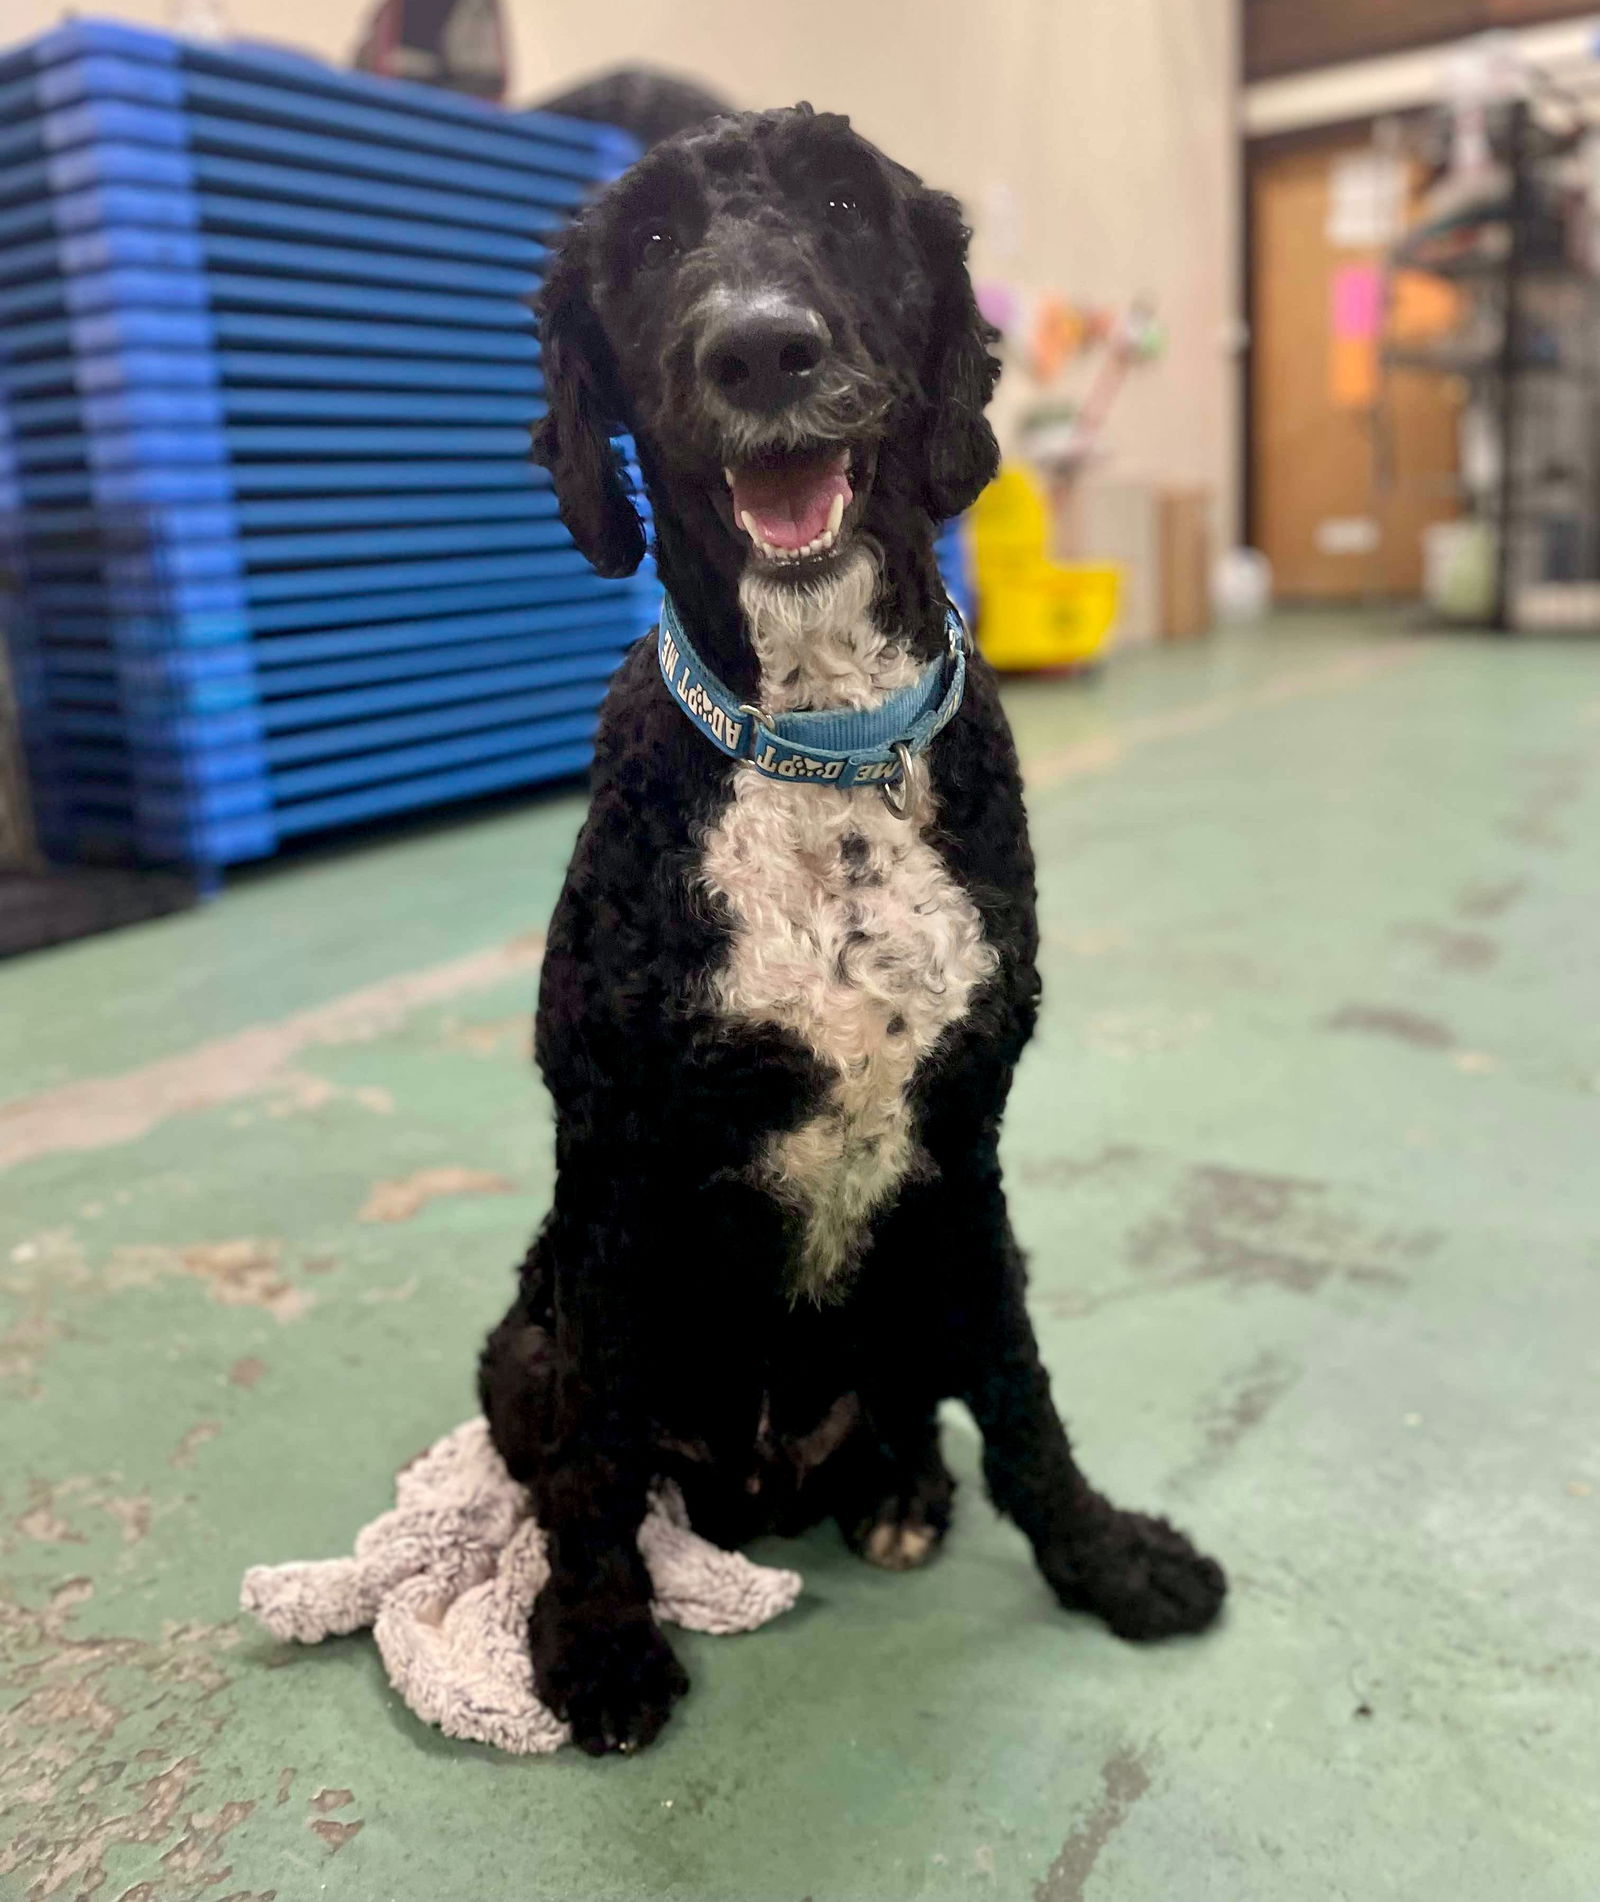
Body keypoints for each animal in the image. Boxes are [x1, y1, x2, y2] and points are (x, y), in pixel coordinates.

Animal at [477, 107, 1225, 1749]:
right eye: (647, 241)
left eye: (839, 205)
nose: (762, 346)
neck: (822, 745)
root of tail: (767, 1482)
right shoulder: (615, 1170)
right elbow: (595, 1457)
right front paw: (597, 1636)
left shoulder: (965, 1150)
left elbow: (1024, 1397)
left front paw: (1104, 1558)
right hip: (526, 1338)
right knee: (573, 1449)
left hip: (925, 1264)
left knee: (922, 1403)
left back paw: (899, 1489)